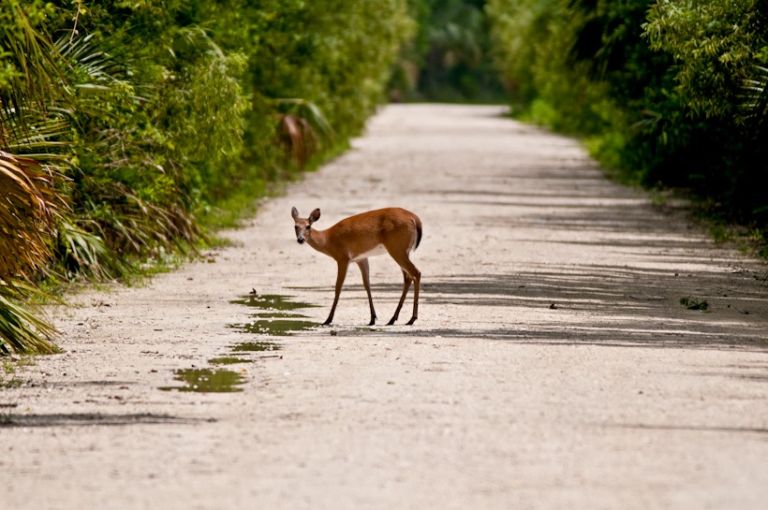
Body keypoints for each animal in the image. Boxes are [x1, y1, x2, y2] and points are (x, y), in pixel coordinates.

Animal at [292, 207, 420, 326]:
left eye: (308, 226)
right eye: (295, 226)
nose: (300, 239)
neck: (327, 240)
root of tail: (414, 218)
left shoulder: (343, 258)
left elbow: (338, 287)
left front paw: (328, 320)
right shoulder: (361, 258)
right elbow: (367, 284)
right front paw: (372, 319)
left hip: (396, 248)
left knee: (416, 272)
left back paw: (411, 319)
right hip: (403, 250)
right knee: (408, 277)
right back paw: (393, 319)